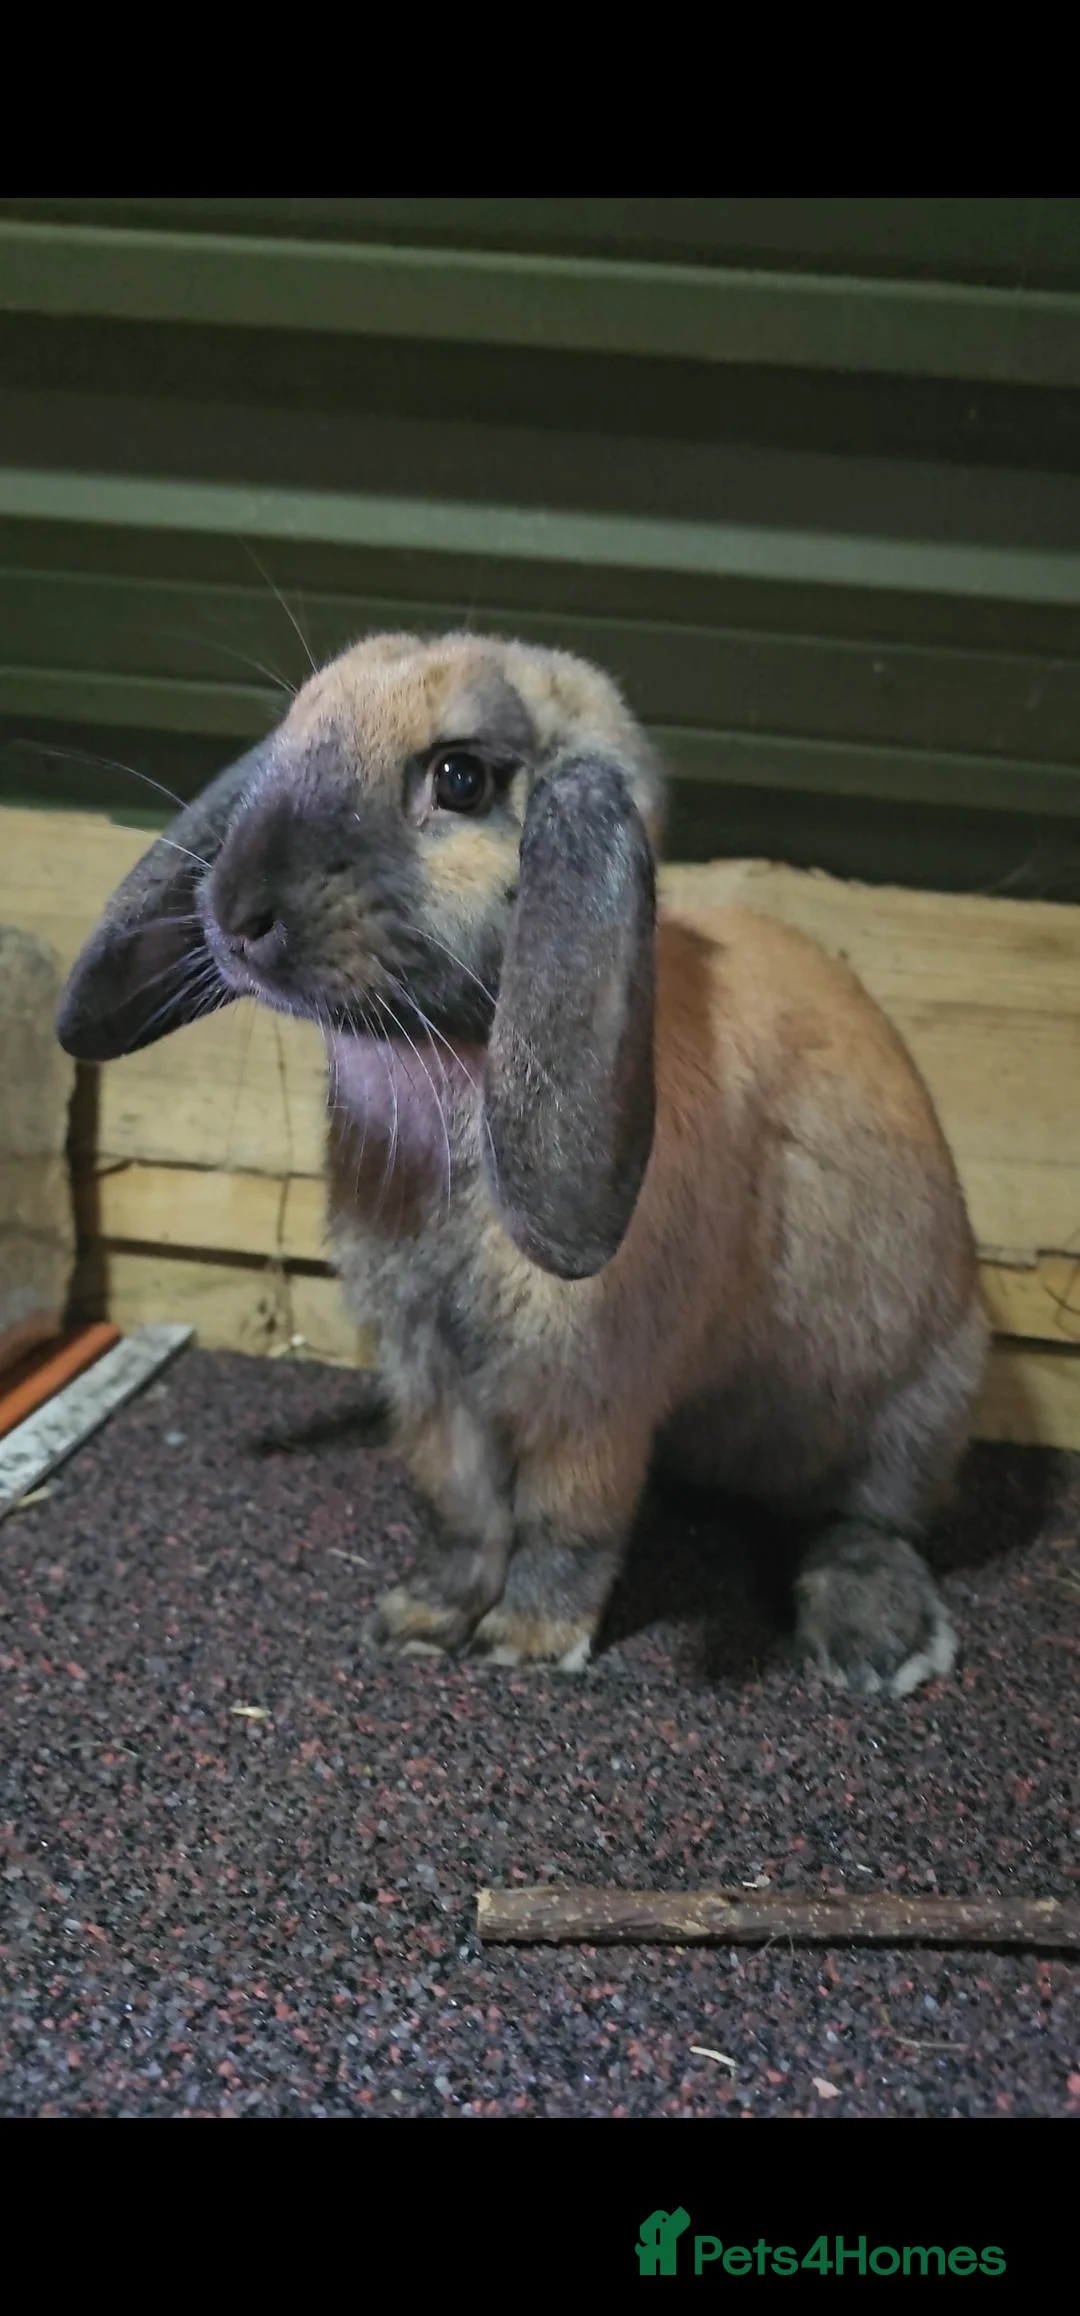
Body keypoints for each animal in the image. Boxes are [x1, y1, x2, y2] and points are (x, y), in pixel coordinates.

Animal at [56, 630, 988, 1697]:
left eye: (460, 778)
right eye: (293, 730)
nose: (236, 910)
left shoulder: (593, 1394)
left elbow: (566, 1525)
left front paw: (527, 1642)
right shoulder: (429, 1376)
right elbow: (461, 1509)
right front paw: (420, 1621)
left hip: (912, 1406)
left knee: (870, 1518)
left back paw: (876, 1640)